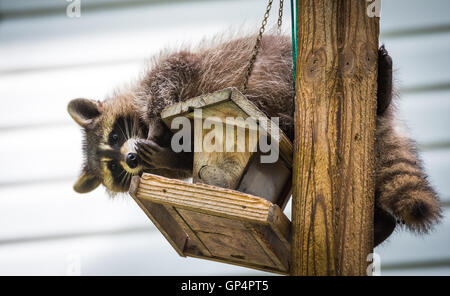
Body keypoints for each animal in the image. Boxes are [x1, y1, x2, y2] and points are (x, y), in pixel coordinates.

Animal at [67, 34, 440, 246]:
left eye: (116, 135)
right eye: (114, 170)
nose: (130, 160)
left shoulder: (168, 73)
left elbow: (169, 77)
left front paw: (155, 122)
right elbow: (184, 160)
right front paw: (163, 157)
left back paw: (382, 91)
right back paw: (381, 225)